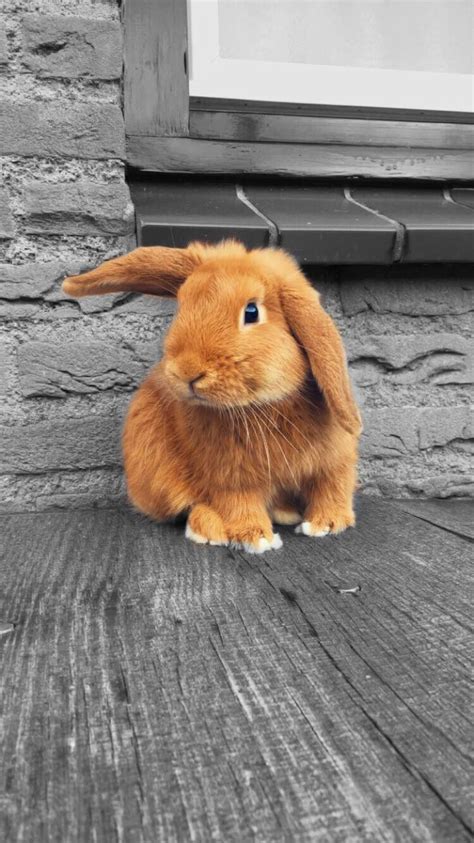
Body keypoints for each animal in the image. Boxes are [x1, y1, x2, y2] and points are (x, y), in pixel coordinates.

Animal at [62, 239, 360, 552]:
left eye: (251, 312)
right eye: (182, 305)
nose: (186, 371)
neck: (262, 406)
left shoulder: (335, 462)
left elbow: (334, 487)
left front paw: (326, 524)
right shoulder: (229, 477)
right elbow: (238, 502)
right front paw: (255, 537)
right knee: (190, 506)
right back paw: (209, 528)